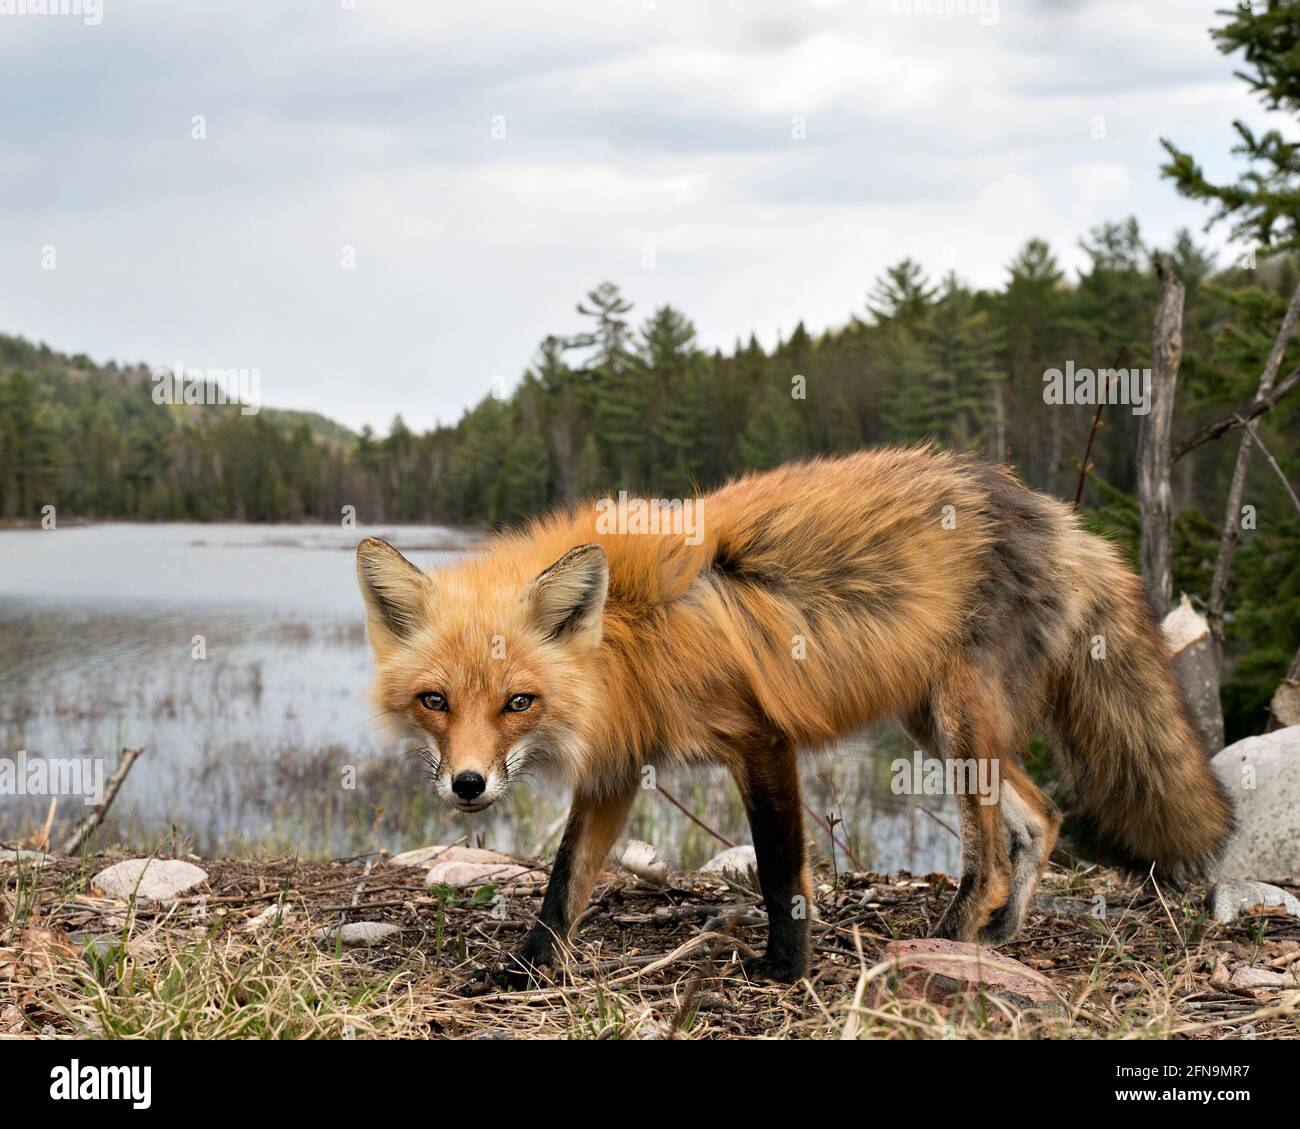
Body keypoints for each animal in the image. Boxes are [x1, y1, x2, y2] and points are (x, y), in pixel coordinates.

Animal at [356, 446, 1234, 984]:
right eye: (435, 700)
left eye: (518, 701)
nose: (468, 785)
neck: (629, 633)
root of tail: (1054, 512)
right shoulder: (617, 764)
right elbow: (565, 882)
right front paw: (527, 969)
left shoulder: (759, 738)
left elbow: (781, 867)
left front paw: (786, 967)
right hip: (935, 723)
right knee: (1042, 816)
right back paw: (998, 937)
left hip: (960, 722)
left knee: (989, 853)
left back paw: (946, 941)